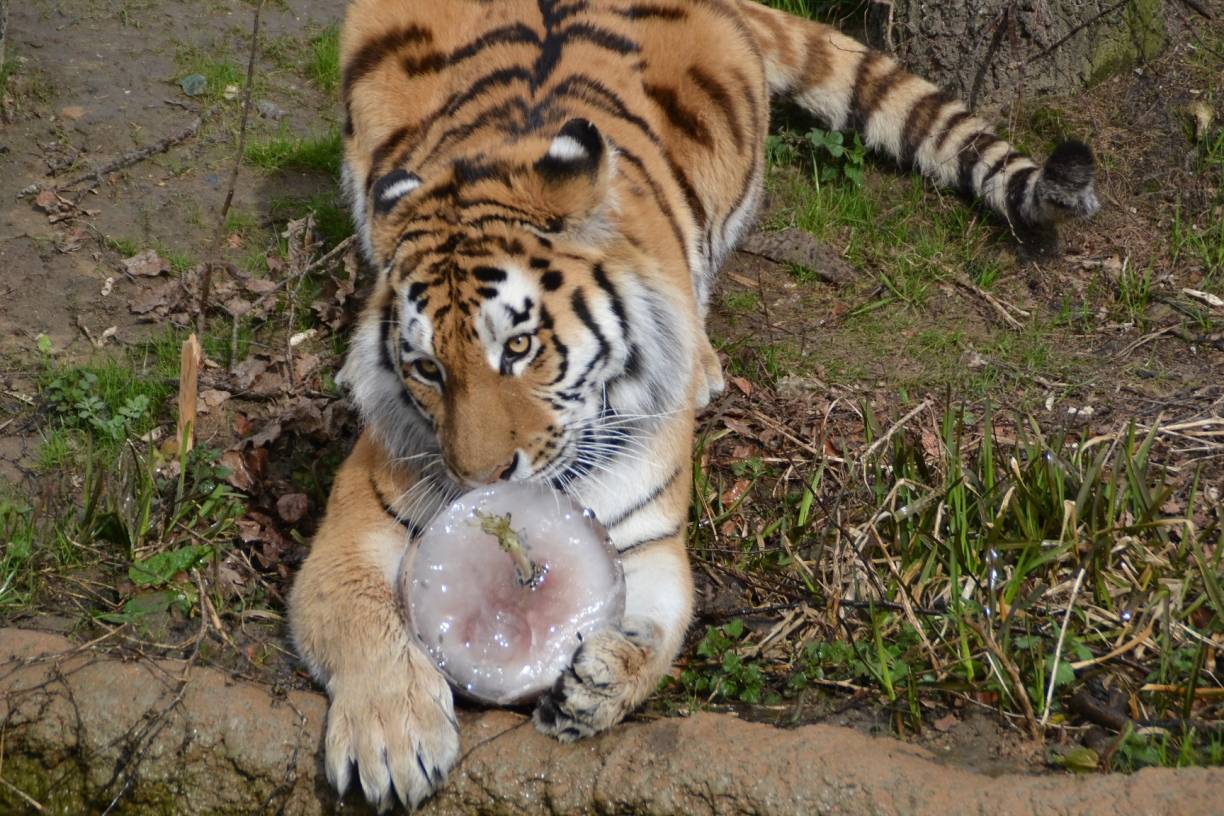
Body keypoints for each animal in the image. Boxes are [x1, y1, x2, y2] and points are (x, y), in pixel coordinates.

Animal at [287, 0, 1098, 810]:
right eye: (426, 368)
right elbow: (359, 615)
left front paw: (600, 684)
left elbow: (661, 629)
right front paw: (390, 735)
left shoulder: (650, 539)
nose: (481, 480)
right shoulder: (358, 513)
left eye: (518, 347)